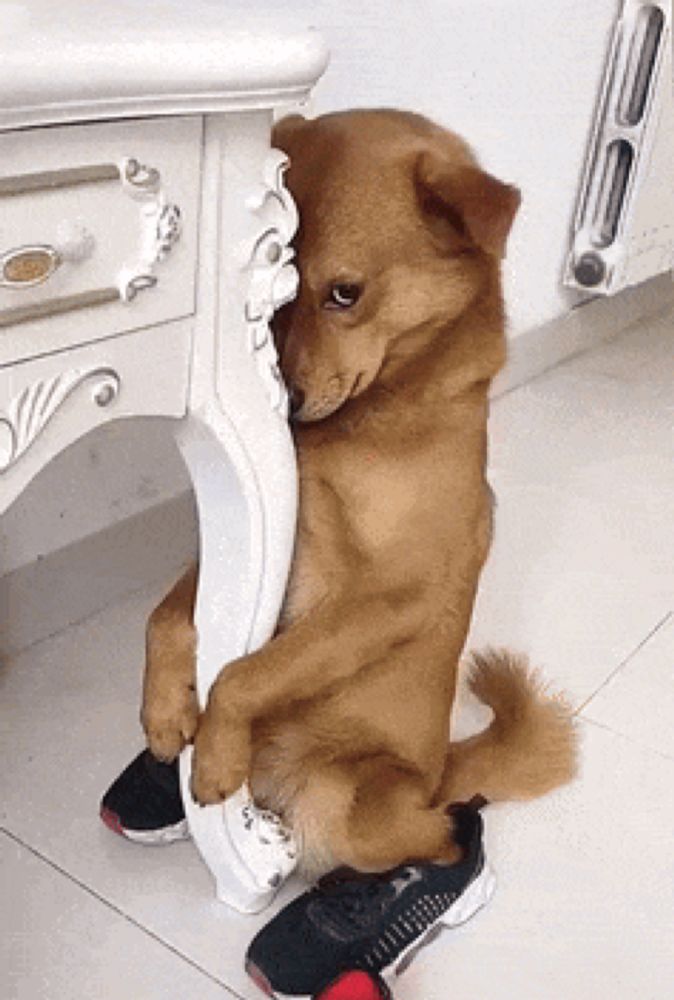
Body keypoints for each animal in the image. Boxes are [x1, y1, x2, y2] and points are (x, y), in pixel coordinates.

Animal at [139, 109, 576, 876]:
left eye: (344, 293)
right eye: (278, 295)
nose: (286, 406)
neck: (361, 429)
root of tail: (439, 772)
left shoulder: (387, 595)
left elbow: (248, 674)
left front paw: (216, 749)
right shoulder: (261, 532)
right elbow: (165, 619)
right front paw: (165, 712)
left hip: (355, 808)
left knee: (443, 829)